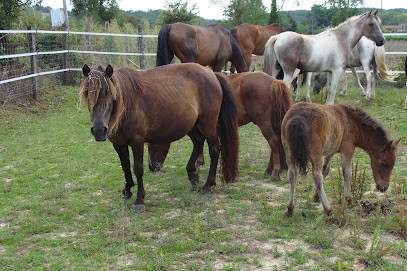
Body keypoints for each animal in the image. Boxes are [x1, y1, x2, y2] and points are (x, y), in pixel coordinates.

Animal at [80, 63, 241, 212]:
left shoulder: (137, 142)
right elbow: (125, 167)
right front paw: (127, 190)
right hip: (191, 125)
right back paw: (193, 176)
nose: (99, 130)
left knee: (215, 149)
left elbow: (137, 169)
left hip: (208, 125)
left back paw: (207, 186)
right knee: (198, 141)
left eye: (110, 93)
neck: (127, 104)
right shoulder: (119, 144)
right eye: (88, 93)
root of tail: (211, 73)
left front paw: (139, 200)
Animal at [148, 72, 294, 182]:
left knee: (274, 142)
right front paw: (199, 162)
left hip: (264, 123)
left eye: (151, 144)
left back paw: (275, 172)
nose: (152, 167)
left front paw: (197, 163)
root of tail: (274, 81)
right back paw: (269, 170)